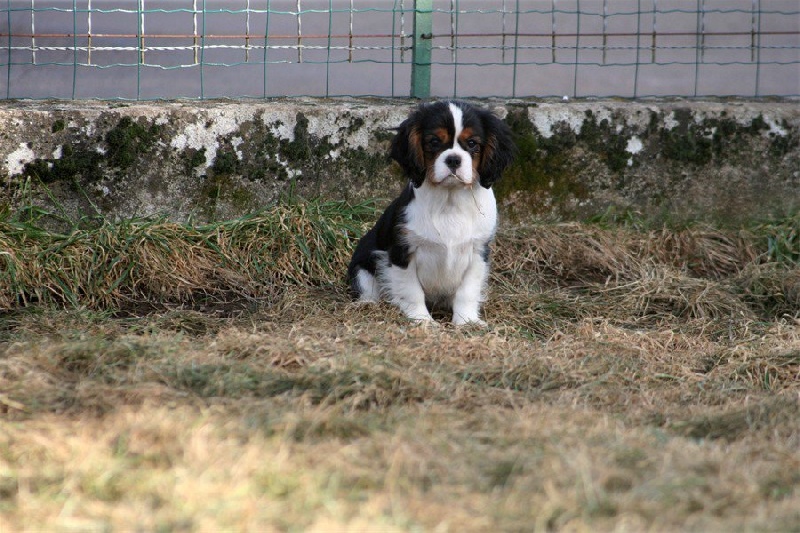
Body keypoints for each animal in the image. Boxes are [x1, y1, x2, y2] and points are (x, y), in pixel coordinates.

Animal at [348, 100, 512, 324]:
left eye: (472, 144)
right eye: (434, 141)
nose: (453, 159)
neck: (449, 199)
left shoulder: (478, 251)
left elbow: (467, 291)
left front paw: (467, 322)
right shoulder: (402, 252)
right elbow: (411, 290)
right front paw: (422, 320)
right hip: (362, 266)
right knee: (368, 288)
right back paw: (368, 305)